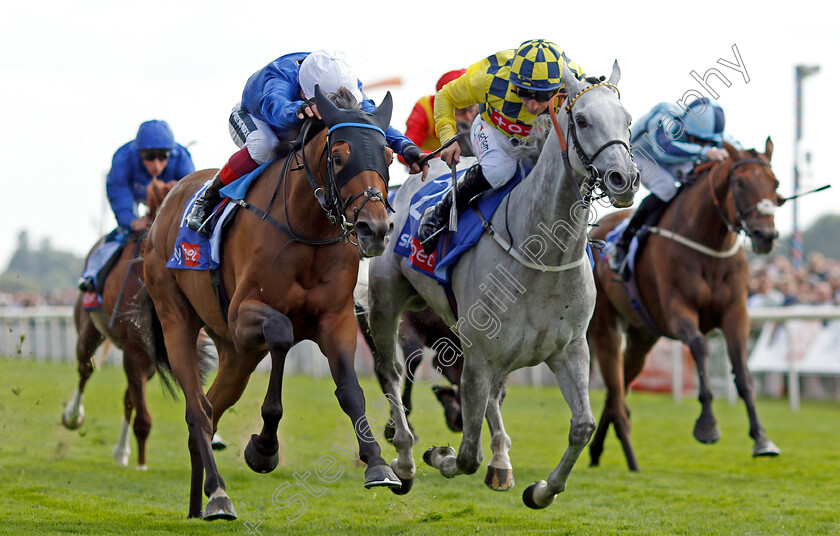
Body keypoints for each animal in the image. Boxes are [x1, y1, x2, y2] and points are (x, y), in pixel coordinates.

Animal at [62, 177, 176, 468]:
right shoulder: (134, 350)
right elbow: (142, 415)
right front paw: (142, 465)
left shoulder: (150, 358)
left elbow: (133, 401)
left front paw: (135, 458)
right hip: (88, 328)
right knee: (85, 368)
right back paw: (72, 416)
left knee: (127, 397)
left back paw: (121, 452)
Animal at [142, 87, 398, 520]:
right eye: (338, 157)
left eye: (389, 157)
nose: (374, 229)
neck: (308, 230)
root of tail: (165, 206)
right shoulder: (243, 315)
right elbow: (281, 333)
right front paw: (263, 448)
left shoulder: (336, 320)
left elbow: (350, 389)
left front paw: (378, 463)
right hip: (176, 316)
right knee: (197, 411)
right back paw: (218, 494)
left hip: (236, 353)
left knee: (211, 411)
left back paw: (197, 505)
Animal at [366, 60, 636, 508]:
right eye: (582, 120)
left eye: (627, 120)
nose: (624, 178)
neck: (543, 257)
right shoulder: (478, 355)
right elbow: (466, 454)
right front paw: (438, 455)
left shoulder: (570, 349)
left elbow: (582, 426)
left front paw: (542, 490)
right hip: (386, 302)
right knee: (390, 371)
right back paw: (403, 458)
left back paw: (502, 463)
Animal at [588, 140, 784, 472]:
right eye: (740, 183)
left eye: (776, 184)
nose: (765, 236)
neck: (709, 244)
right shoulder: (679, 310)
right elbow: (700, 348)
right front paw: (707, 425)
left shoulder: (736, 314)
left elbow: (742, 371)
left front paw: (761, 439)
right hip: (605, 328)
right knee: (615, 389)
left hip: (643, 335)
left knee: (618, 390)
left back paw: (600, 451)